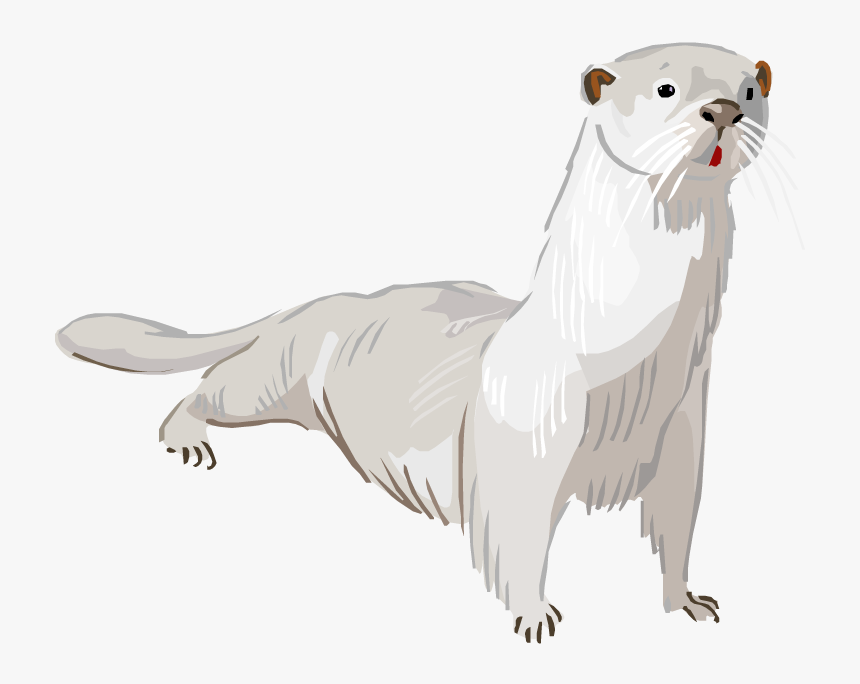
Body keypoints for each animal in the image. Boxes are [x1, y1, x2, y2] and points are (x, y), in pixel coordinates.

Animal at [56, 43, 774, 643]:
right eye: (666, 87)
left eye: (750, 86)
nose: (724, 110)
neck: (631, 367)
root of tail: (305, 305)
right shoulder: (522, 433)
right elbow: (514, 532)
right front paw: (533, 615)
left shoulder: (683, 428)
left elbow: (677, 523)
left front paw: (688, 601)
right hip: (273, 374)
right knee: (211, 385)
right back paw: (187, 437)